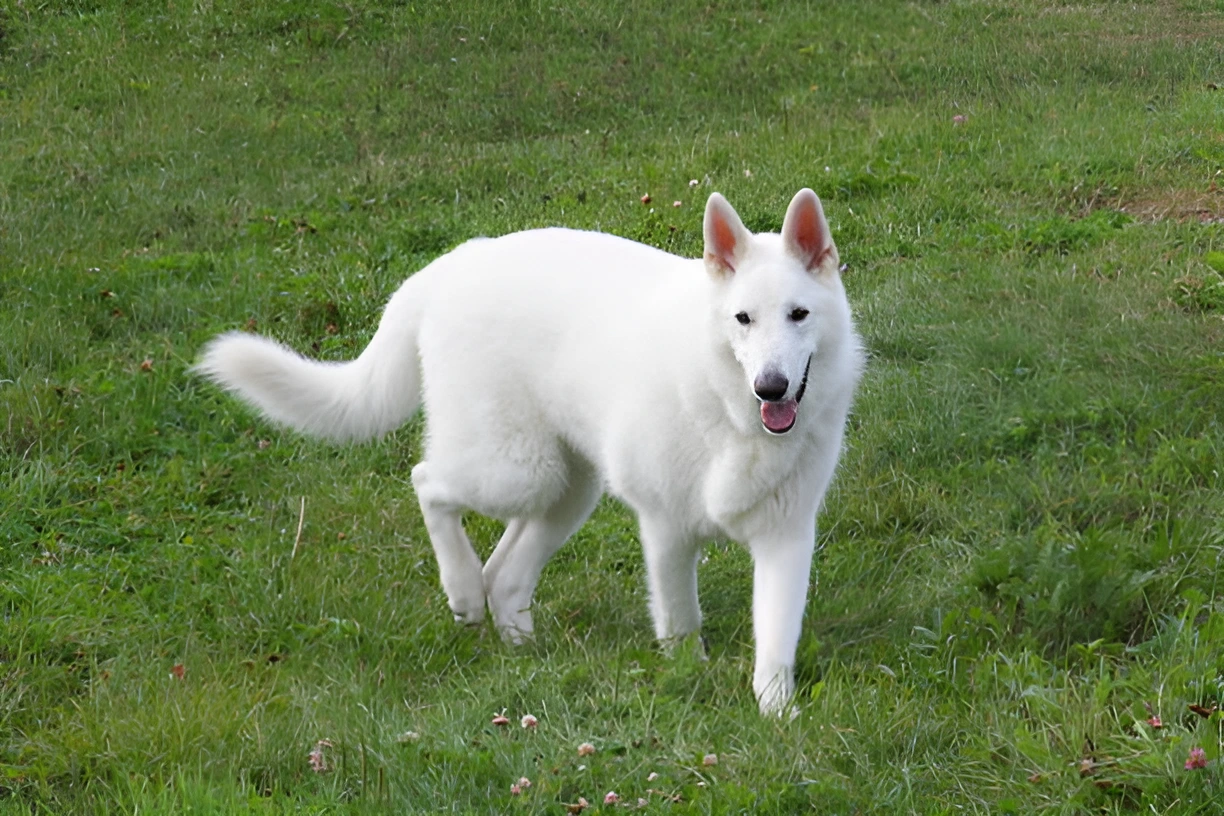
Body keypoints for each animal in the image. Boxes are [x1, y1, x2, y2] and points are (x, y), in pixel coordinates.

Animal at [195, 192, 866, 714]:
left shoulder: (785, 539)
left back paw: (519, 649)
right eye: (743, 319)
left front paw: (777, 716)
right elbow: (680, 622)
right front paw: (688, 680)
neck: (729, 411)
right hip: (515, 471)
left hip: (566, 489)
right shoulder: (667, 529)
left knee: (507, 574)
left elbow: (776, 641)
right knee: (427, 482)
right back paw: (463, 592)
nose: (771, 388)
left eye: (799, 315)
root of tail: (454, 262)